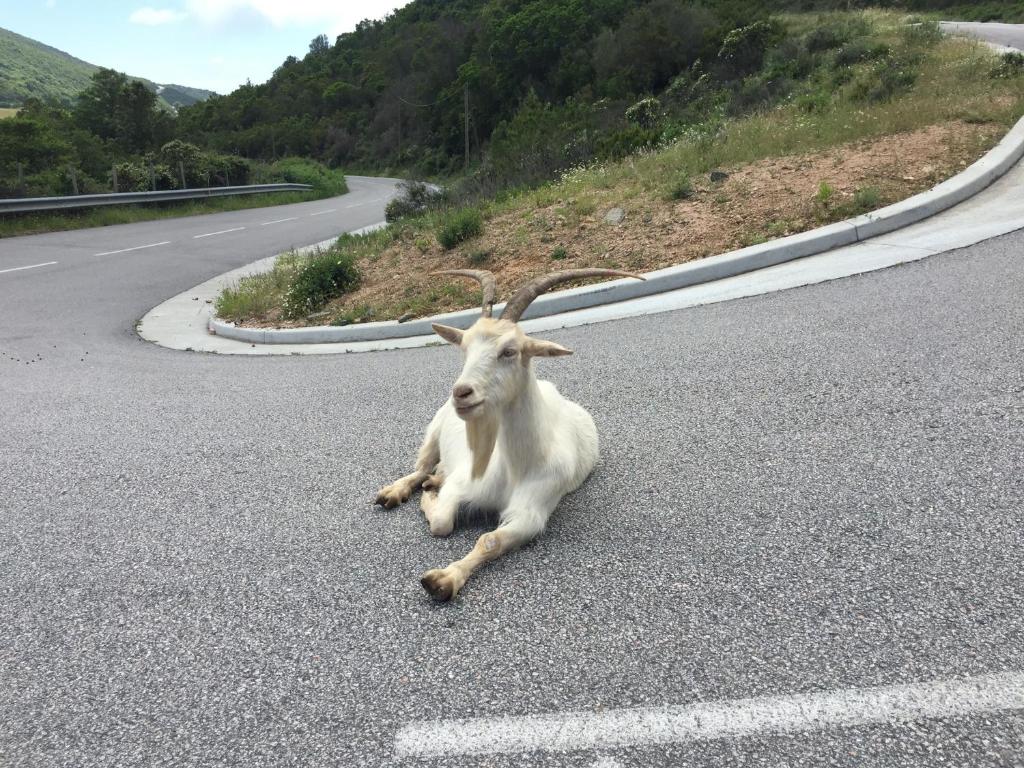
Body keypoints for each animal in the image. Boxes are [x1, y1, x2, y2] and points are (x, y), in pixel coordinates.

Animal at [372, 268, 643, 602]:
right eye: (465, 349)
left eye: (509, 351)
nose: (461, 393)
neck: (516, 464)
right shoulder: (462, 485)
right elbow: (442, 523)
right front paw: (429, 499)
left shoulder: (531, 513)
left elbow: (490, 540)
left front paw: (444, 579)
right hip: (433, 430)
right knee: (420, 468)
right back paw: (395, 492)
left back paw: (433, 480)